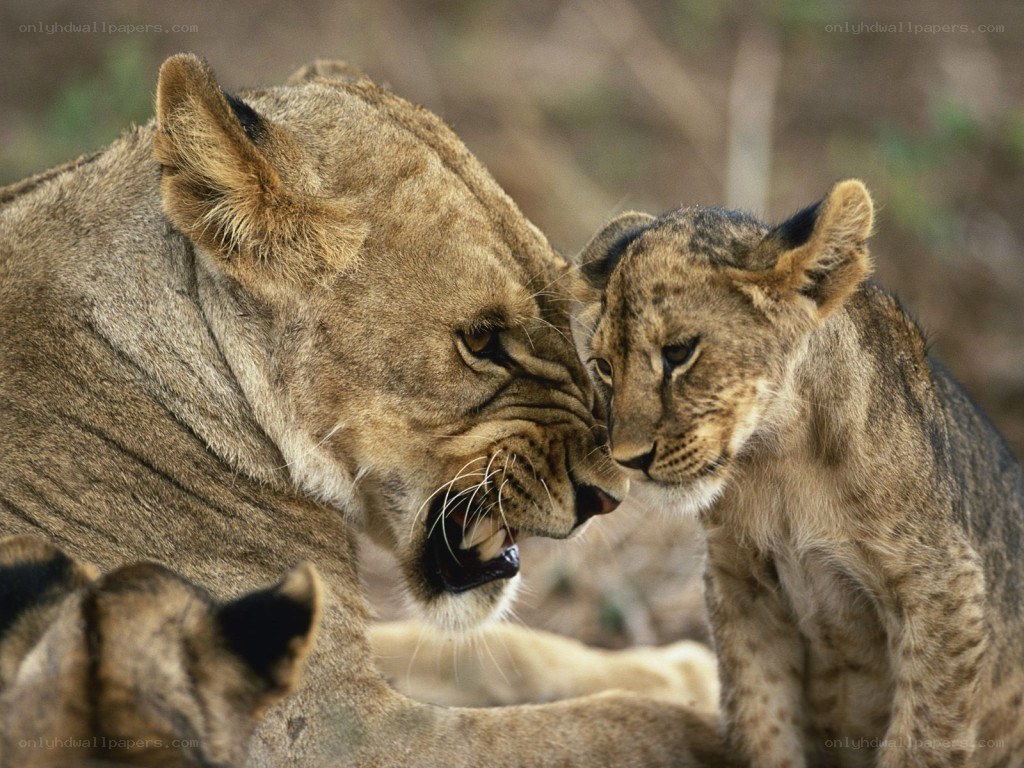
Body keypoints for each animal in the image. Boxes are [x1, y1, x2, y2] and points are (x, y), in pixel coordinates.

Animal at [574, 180, 1024, 767]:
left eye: (678, 353)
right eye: (604, 367)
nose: (628, 458)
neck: (780, 458)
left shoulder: (943, 587)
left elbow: (922, 737)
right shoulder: (742, 588)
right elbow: (764, 724)